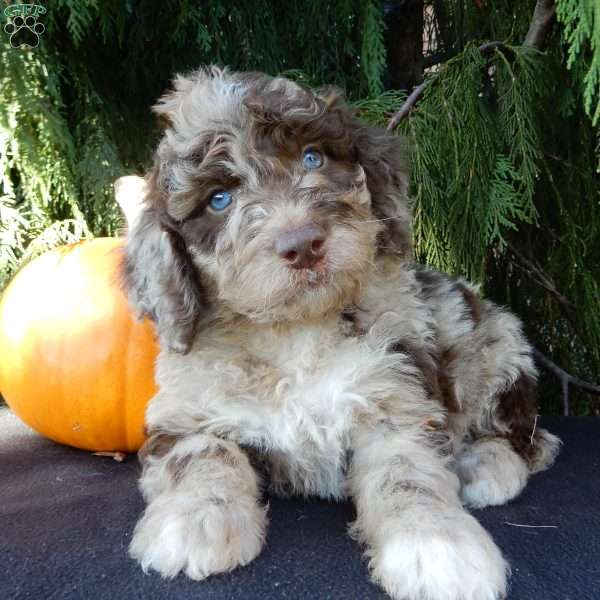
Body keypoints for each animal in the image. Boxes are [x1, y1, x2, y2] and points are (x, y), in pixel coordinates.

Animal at [124, 67, 560, 600]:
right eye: (218, 199)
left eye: (312, 157)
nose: (302, 244)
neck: (292, 332)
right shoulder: (184, 410)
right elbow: (202, 452)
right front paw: (195, 522)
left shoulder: (397, 394)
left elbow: (408, 472)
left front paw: (437, 546)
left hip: (494, 343)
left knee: (527, 439)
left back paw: (485, 467)